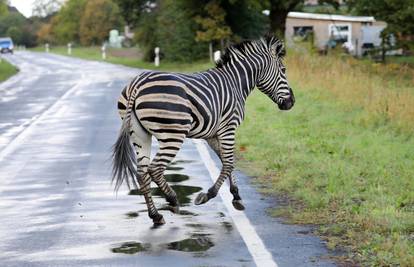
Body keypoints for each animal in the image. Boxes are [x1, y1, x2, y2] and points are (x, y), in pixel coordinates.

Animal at [111, 34, 296, 225]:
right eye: (283, 69)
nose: (291, 102)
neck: (235, 83)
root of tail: (138, 84)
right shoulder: (228, 128)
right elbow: (228, 163)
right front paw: (208, 195)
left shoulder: (212, 134)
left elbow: (226, 161)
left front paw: (236, 196)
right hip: (172, 134)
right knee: (155, 169)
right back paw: (173, 200)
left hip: (139, 134)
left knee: (142, 173)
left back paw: (156, 215)